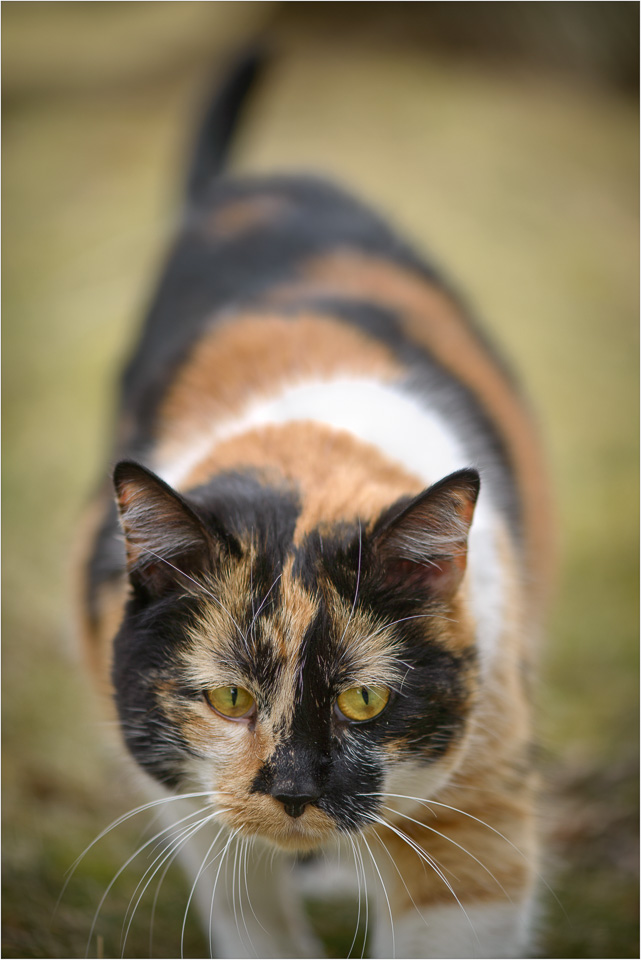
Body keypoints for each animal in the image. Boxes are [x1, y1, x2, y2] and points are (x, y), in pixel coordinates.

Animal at [77, 52, 552, 960]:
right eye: (228, 698)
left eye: (364, 699)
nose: (294, 789)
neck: (310, 453)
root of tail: (251, 182)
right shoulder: (189, 797)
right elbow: (246, 898)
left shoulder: (478, 812)